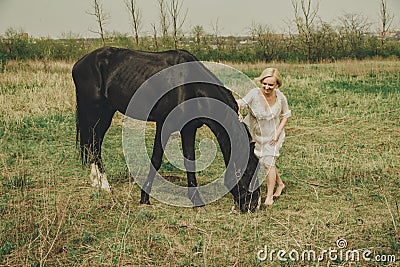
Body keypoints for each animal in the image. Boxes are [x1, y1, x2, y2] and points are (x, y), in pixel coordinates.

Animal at [72, 46, 260, 214]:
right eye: (248, 171)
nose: (253, 205)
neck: (190, 87)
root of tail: (79, 64)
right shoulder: (163, 125)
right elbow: (156, 159)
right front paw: (144, 198)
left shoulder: (189, 128)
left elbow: (189, 161)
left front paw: (197, 201)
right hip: (94, 111)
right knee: (93, 142)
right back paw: (104, 184)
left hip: (106, 112)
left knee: (95, 142)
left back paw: (98, 182)